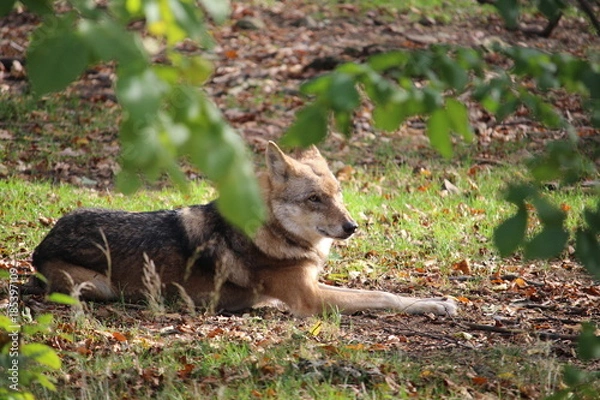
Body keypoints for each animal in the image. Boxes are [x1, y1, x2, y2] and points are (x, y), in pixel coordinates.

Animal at [25, 142, 458, 318]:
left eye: (337, 194)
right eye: (314, 199)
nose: (352, 227)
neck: (274, 233)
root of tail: (41, 244)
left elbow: (382, 291)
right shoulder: (312, 299)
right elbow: (384, 295)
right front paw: (437, 305)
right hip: (99, 287)